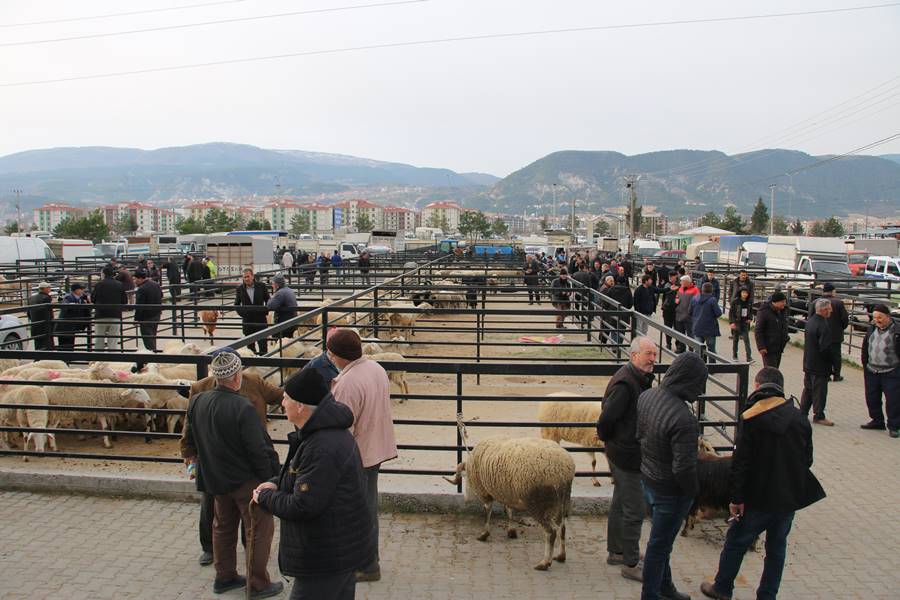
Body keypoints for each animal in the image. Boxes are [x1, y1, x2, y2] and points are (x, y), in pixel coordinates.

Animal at [444, 436, 576, 572]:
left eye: (465, 479)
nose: (466, 499)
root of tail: (562, 469)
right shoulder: (507, 492)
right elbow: (509, 511)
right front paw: (511, 531)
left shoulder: (485, 492)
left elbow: (488, 511)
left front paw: (484, 534)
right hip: (564, 500)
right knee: (562, 528)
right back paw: (561, 556)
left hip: (538, 503)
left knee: (551, 532)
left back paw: (544, 563)